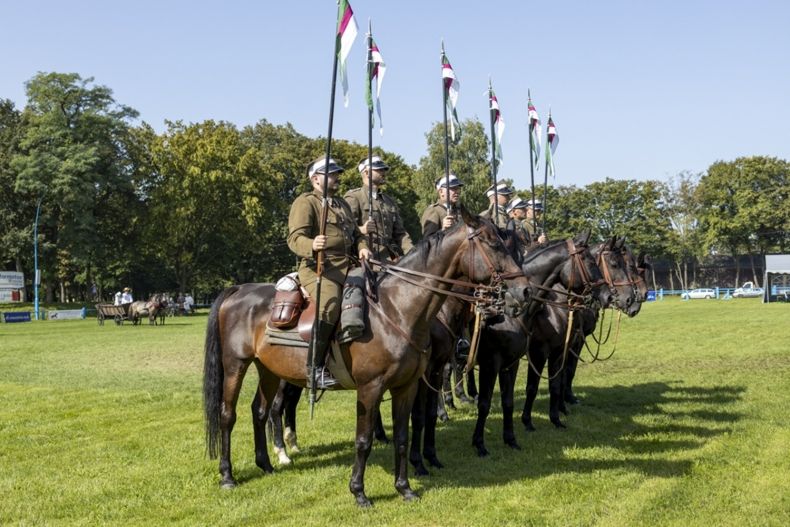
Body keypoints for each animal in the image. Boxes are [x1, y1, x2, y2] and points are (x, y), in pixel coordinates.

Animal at [203, 210, 532, 508]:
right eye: (493, 244)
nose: (524, 290)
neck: (397, 309)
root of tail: (238, 289)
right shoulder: (371, 388)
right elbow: (364, 440)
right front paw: (359, 492)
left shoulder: (407, 386)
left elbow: (403, 434)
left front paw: (405, 487)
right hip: (236, 366)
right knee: (229, 415)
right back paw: (228, 475)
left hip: (268, 369)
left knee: (259, 411)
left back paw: (266, 464)